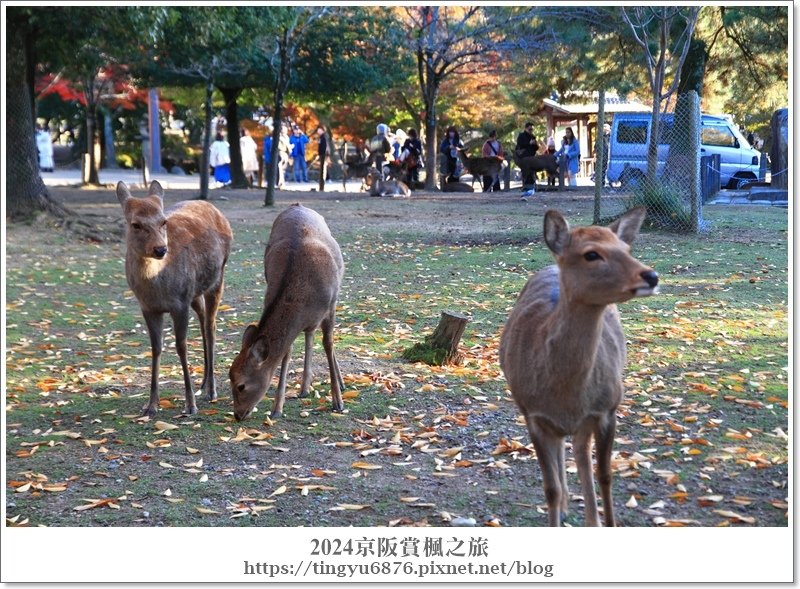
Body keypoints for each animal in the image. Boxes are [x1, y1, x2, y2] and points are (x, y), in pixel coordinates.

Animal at [117, 181, 233, 416]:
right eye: (135, 224)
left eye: (163, 221)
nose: (161, 249)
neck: (157, 288)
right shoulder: (148, 307)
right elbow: (156, 347)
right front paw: (151, 405)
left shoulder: (180, 303)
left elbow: (181, 347)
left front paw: (190, 404)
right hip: (195, 291)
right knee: (203, 319)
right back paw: (203, 383)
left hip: (218, 278)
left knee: (211, 327)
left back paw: (211, 390)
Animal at [230, 204, 346, 420]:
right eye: (229, 377)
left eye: (241, 385)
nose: (238, 415)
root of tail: (298, 205)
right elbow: (287, 352)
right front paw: (277, 408)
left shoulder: (331, 305)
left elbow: (328, 344)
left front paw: (338, 402)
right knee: (309, 334)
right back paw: (304, 387)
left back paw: (338, 384)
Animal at [496, 206, 660, 524]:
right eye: (591, 254)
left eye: (626, 248)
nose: (652, 276)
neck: (566, 394)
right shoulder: (532, 414)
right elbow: (550, 488)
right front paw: (557, 513)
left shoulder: (608, 408)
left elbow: (605, 475)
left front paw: (609, 523)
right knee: (566, 454)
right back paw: (566, 509)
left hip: (587, 421)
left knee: (582, 455)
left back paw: (590, 519)